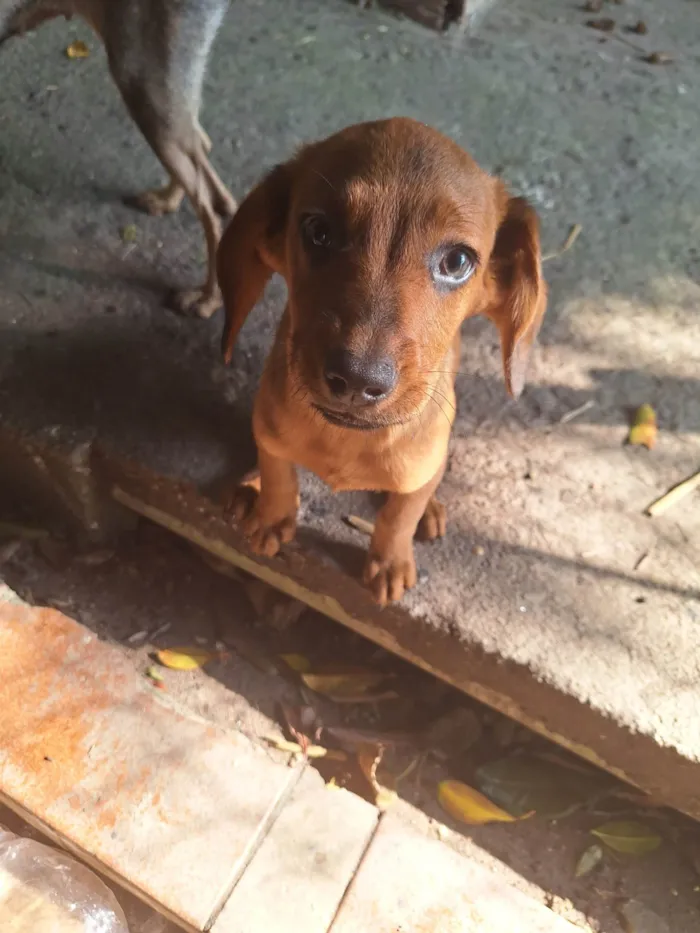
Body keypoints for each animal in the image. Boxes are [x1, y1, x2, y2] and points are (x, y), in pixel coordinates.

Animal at [219, 118, 548, 604]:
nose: (357, 380)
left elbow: (399, 516)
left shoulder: (417, 469)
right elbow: (280, 471)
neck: (346, 440)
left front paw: (390, 562)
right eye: (319, 231)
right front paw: (272, 515)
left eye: (457, 261)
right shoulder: (270, 430)